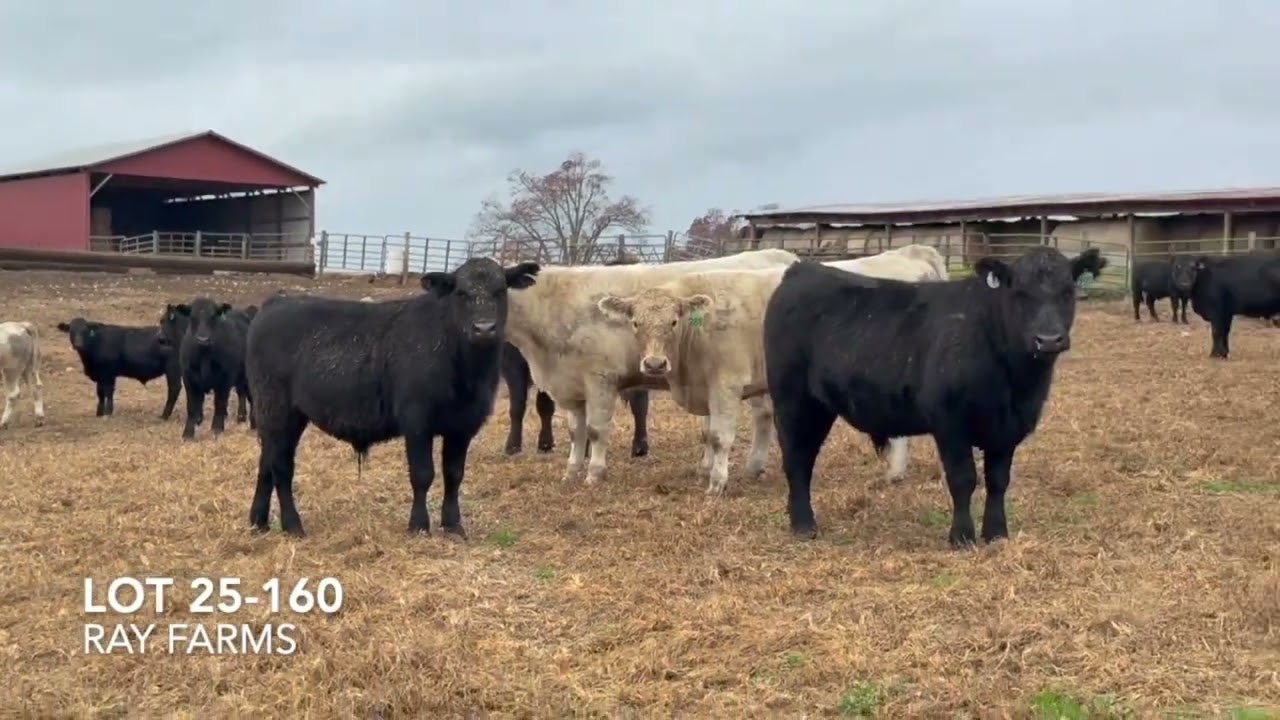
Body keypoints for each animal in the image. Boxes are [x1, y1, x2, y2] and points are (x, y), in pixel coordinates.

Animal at [169, 298, 254, 439]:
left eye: (213, 317)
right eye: (192, 317)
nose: (203, 339)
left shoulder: (224, 380)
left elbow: (219, 403)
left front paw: (216, 429)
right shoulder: (189, 379)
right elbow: (192, 406)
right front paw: (188, 433)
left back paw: (254, 424)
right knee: (241, 393)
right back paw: (241, 417)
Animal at [244, 258, 540, 537]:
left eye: (500, 290)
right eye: (462, 293)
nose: (484, 328)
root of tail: (275, 303)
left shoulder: (463, 426)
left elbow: (454, 474)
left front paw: (453, 525)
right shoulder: (417, 421)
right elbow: (423, 474)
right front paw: (418, 525)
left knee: (266, 463)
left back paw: (258, 522)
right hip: (278, 410)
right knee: (281, 467)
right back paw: (293, 525)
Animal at [595, 244, 949, 494]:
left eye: (672, 322)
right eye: (636, 323)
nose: (654, 363)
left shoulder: (726, 384)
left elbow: (721, 436)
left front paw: (717, 483)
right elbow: (707, 434)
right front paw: (708, 470)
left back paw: (898, 473)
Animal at [759, 246, 1106, 548]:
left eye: (1067, 292)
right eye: (1020, 294)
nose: (1048, 340)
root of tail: (801, 269)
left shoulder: (1007, 428)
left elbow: (998, 480)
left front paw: (996, 534)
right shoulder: (949, 422)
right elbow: (963, 478)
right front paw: (962, 537)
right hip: (792, 399)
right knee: (796, 458)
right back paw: (803, 524)